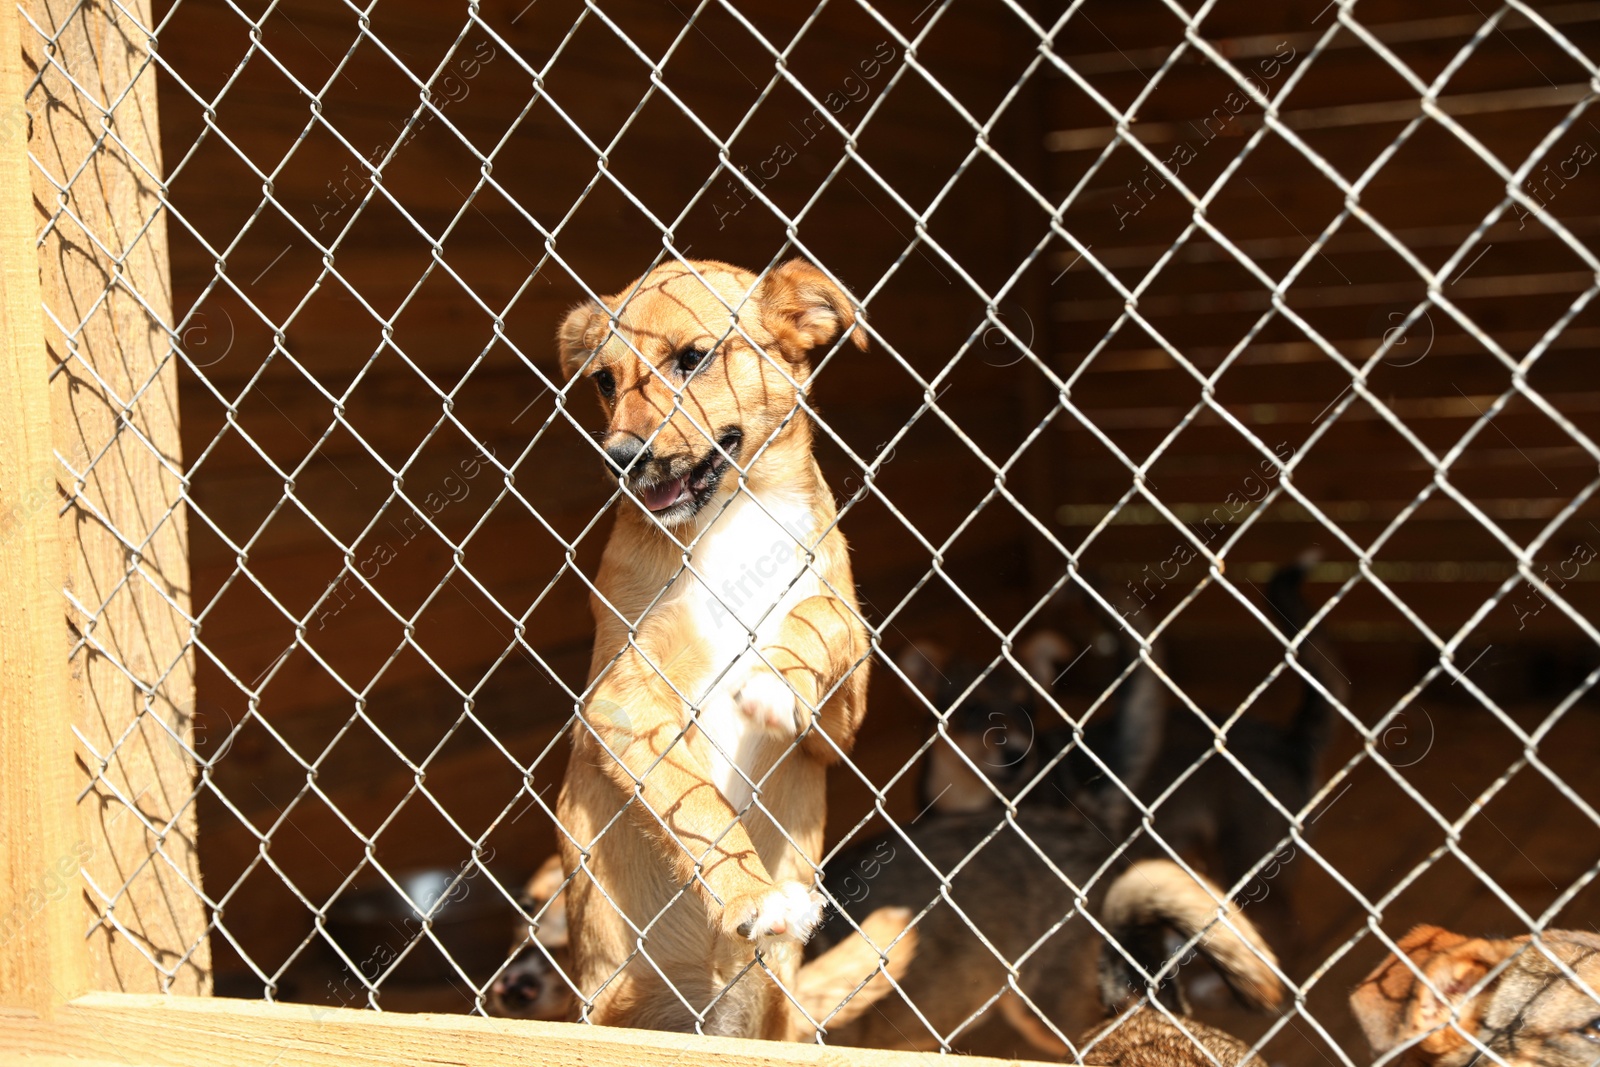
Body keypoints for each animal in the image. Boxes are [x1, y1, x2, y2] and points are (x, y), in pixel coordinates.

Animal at [550, 254, 876, 1036]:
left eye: (693, 358)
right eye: (604, 380)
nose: (619, 459)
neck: (732, 517)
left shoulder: (838, 727)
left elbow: (823, 612)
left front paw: (775, 677)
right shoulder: (623, 701)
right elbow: (699, 807)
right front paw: (752, 895)